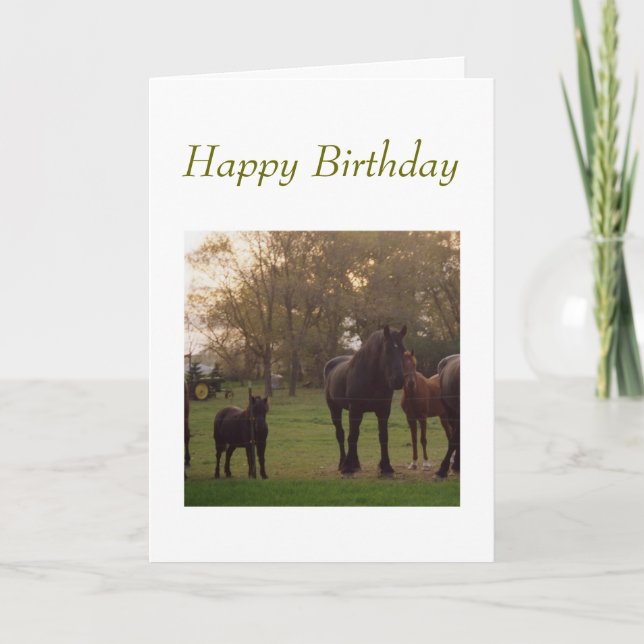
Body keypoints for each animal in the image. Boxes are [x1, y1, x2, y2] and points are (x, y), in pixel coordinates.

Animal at [324, 324, 407, 476]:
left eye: (403, 350)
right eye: (387, 350)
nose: (398, 380)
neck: (371, 377)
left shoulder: (383, 411)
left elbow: (383, 436)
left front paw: (386, 467)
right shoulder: (355, 410)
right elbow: (352, 436)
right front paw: (347, 468)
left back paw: (355, 463)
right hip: (335, 409)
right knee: (341, 434)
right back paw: (343, 463)